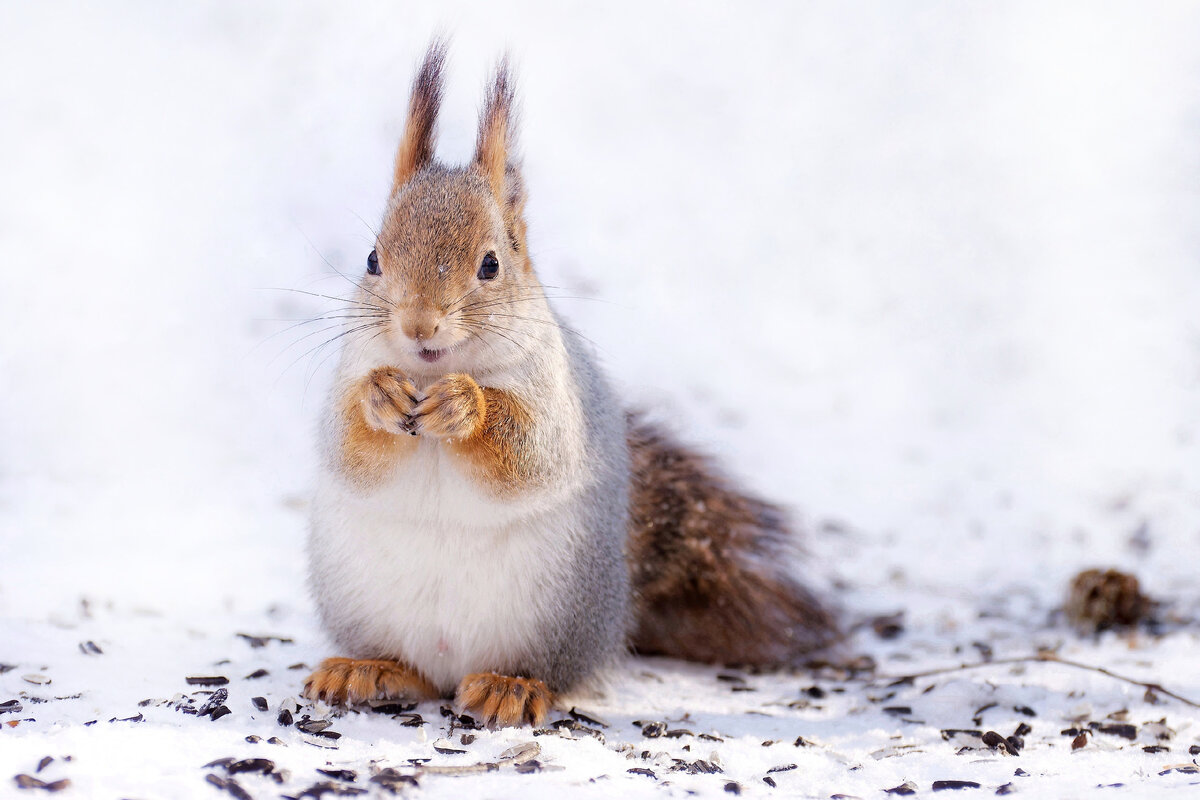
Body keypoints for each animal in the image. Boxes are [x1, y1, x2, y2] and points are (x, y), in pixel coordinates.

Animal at [304, 43, 840, 729]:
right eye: (372, 259)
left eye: (491, 264)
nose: (418, 324)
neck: (431, 368)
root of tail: (454, 666)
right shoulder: (349, 368)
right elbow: (347, 446)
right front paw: (380, 397)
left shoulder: (555, 393)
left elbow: (531, 452)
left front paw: (467, 406)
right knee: (414, 672)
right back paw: (368, 669)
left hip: (557, 615)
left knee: (549, 674)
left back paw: (509, 687)